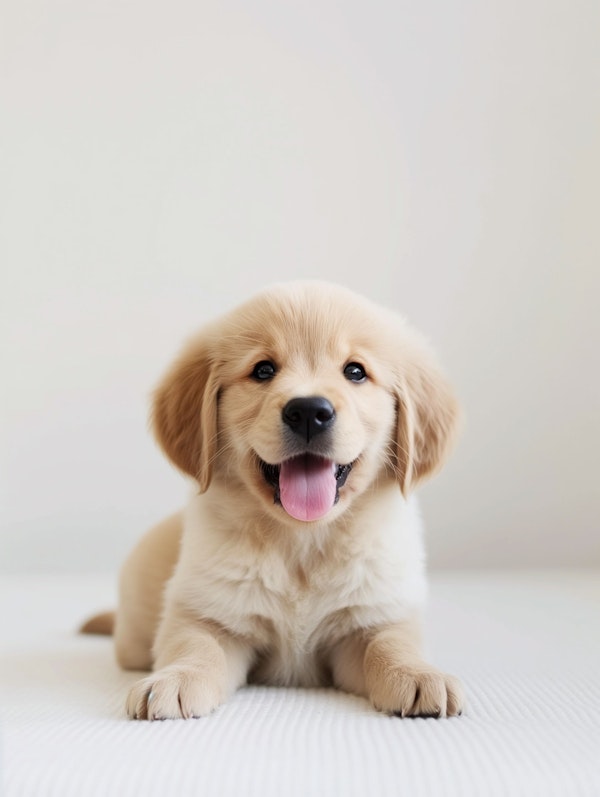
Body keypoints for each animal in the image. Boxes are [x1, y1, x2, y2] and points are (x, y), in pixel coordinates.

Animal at [84, 282, 462, 720]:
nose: (309, 411)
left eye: (355, 371)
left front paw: (417, 673)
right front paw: (174, 679)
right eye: (263, 370)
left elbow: (392, 643)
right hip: (132, 637)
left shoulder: (376, 614)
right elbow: (195, 645)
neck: (301, 544)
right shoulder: (207, 613)